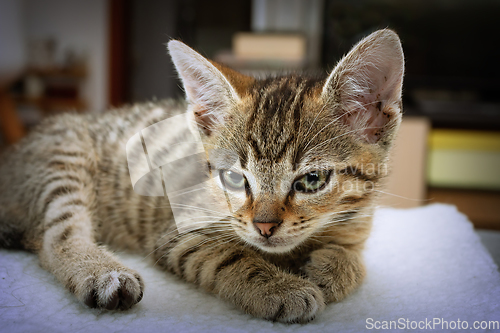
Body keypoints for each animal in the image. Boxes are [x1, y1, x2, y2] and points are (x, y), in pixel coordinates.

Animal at [0, 29, 404, 322]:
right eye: (234, 179)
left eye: (311, 180)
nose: (264, 227)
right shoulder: (177, 233)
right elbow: (230, 255)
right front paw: (279, 288)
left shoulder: (357, 224)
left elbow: (352, 255)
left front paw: (332, 267)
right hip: (64, 157)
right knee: (54, 236)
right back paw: (102, 273)